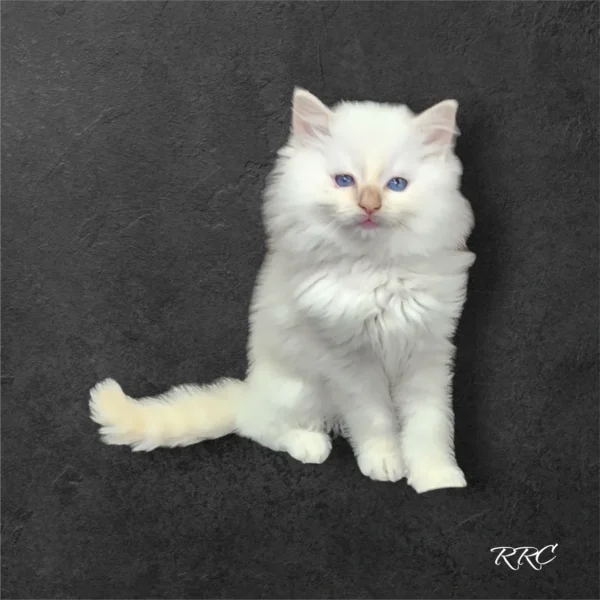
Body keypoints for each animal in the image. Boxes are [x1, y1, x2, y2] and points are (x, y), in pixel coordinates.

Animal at [89, 88, 476, 492]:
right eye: (344, 181)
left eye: (396, 184)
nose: (369, 205)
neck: (374, 269)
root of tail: (251, 390)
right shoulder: (351, 362)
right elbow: (375, 419)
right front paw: (384, 462)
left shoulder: (427, 351)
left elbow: (430, 423)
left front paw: (436, 476)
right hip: (298, 388)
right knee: (260, 427)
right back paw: (309, 443)